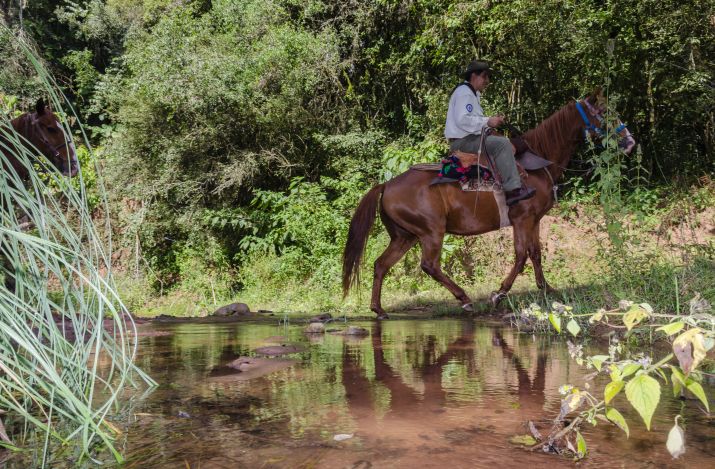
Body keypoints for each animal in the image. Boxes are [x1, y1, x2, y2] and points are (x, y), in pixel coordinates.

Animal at [344, 91, 636, 318]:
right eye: (605, 112)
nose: (630, 141)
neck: (538, 161)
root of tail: (387, 185)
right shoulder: (522, 219)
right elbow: (521, 255)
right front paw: (499, 294)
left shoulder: (535, 220)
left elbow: (536, 253)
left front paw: (546, 289)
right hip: (430, 232)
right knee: (429, 265)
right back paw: (464, 298)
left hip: (405, 236)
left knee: (381, 264)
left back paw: (379, 309)